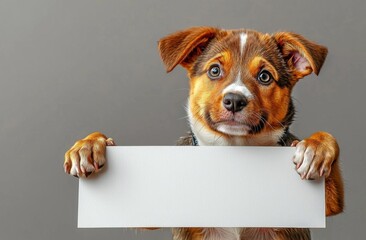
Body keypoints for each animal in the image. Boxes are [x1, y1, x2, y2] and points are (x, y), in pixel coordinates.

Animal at [62, 26, 344, 240]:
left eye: (265, 76)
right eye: (214, 70)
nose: (234, 100)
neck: (234, 150)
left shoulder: (321, 206)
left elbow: (330, 156)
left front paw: (316, 149)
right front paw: (89, 145)